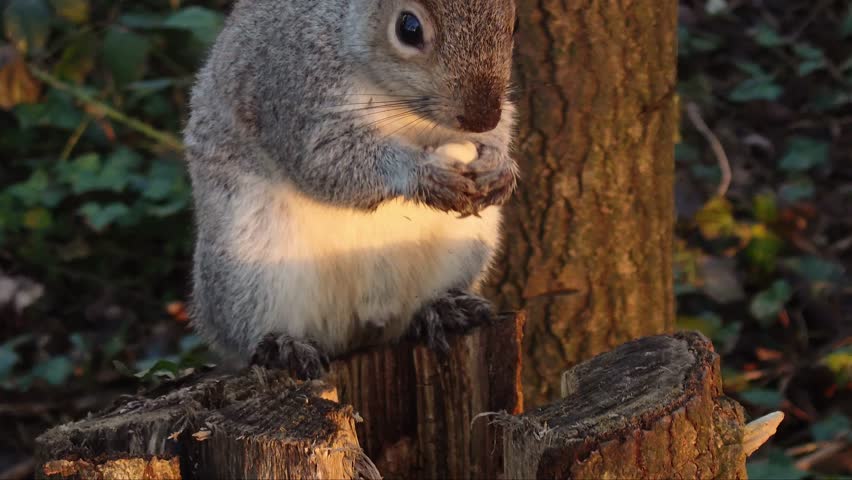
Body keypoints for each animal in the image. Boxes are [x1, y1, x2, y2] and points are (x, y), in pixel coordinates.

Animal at [185, 0, 519, 379]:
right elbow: (326, 158)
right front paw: (422, 173)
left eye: (514, 25)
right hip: (250, 267)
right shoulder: (294, 86)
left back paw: (443, 309)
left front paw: (499, 164)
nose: (482, 118)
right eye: (408, 28)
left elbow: (504, 126)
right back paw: (282, 346)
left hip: (464, 248)